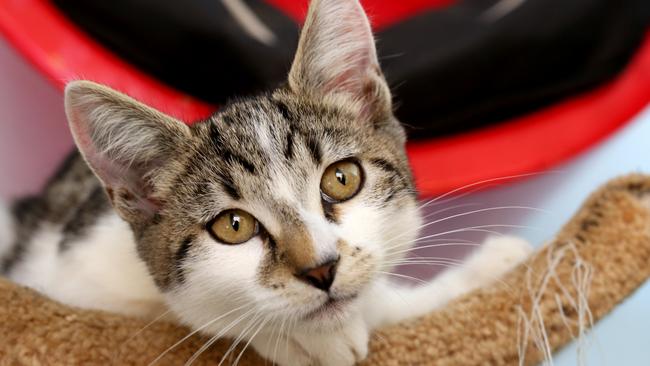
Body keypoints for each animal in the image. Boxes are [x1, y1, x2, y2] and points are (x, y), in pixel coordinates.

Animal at [0, 0, 528, 364]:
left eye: (342, 179)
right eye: (233, 226)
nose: (321, 269)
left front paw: (492, 268)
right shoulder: (65, 274)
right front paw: (300, 336)